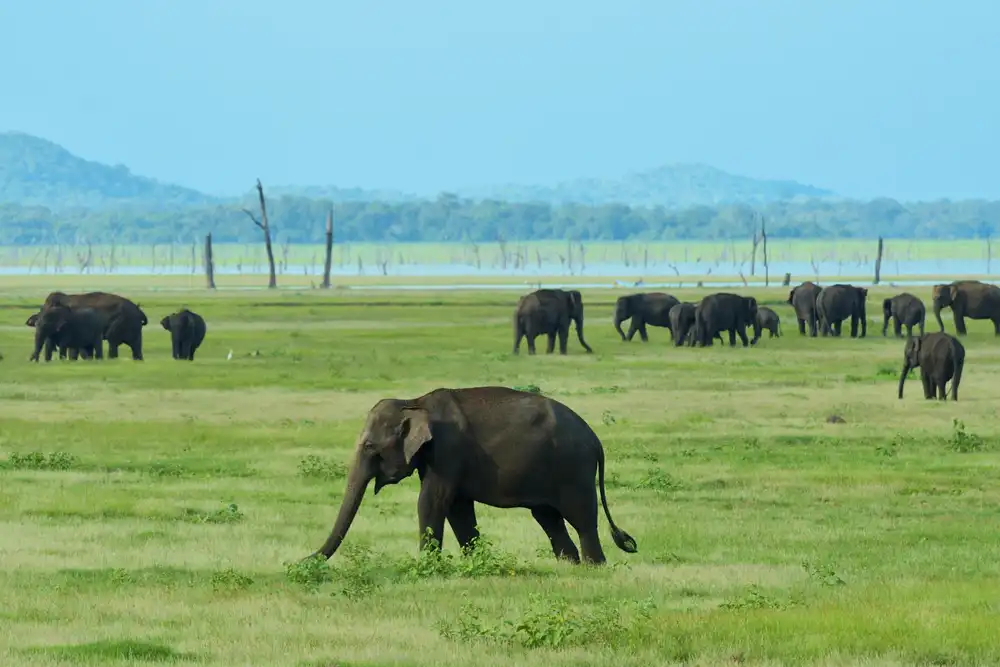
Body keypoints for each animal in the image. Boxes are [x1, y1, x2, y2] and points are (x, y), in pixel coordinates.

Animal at [304, 386, 637, 565]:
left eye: (370, 446)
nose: (301, 561)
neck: (414, 402)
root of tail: (596, 440)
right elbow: (458, 508)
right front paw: (476, 562)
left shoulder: (447, 450)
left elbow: (432, 501)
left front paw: (429, 565)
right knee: (548, 518)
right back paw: (569, 565)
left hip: (573, 470)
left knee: (581, 517)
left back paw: (594, 567)